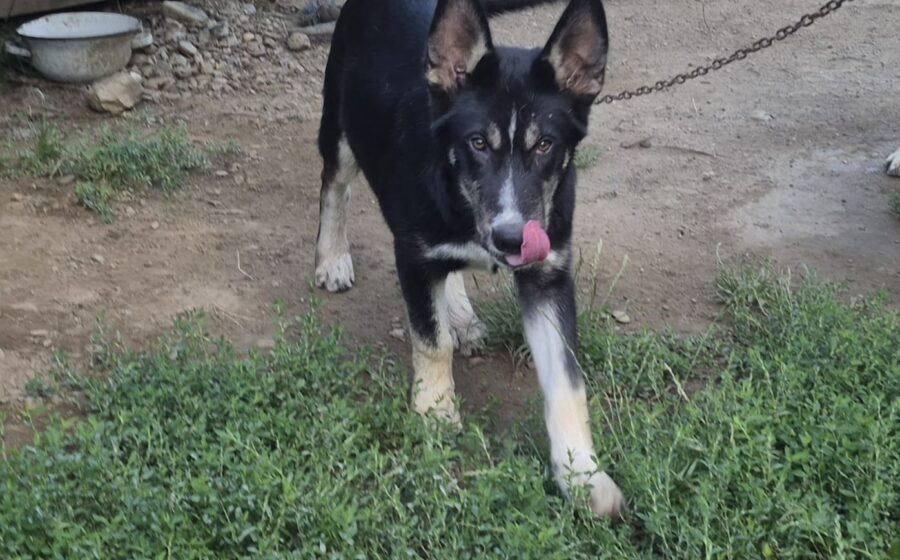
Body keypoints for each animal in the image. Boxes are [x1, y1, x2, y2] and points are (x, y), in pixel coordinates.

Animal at [314, 0, 624, 516]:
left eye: (546, 144)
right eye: (478, 143)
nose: (511, 239)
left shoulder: (548, 275)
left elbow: (567, 380)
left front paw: (581, 472)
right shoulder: (413, 254)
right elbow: (430, 340)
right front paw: (435, 413)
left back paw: (459, 313)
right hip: (338, 122)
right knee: (335, 185)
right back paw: (332, 258)